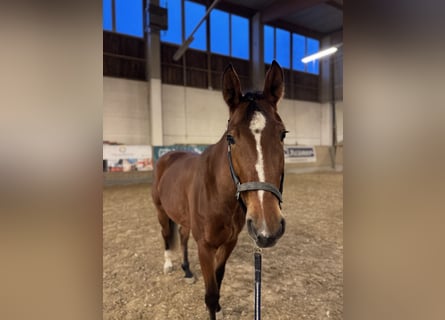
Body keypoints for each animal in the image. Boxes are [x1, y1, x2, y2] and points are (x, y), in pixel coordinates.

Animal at [151, 60, 286, 320]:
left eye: (283, 134)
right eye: (231, 138)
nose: (267, 228)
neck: (217, 193)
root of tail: (168, 156)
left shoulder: (229, 242)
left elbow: (219, 278)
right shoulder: (205, 246)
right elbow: (211, 294)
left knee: (182, 236)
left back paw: (186, 271)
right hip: (161, 211)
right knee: (165, 234)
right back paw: (168, 264)